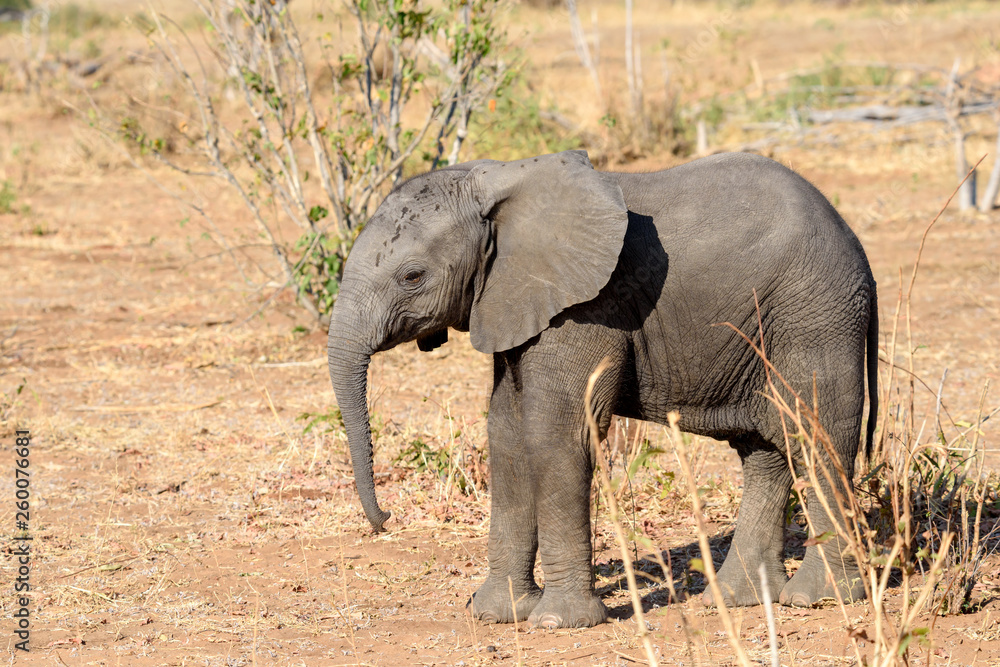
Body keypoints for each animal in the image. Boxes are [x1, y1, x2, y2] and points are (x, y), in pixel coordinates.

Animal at [326, 150, 878, 628]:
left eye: (412, 277)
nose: (386, 518)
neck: (499, 182)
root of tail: (857, 246)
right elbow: (507, 434)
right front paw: (494, 614)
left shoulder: (585, 307)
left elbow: (556, 437)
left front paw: (557, 623)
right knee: (767, 450)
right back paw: (736, 597)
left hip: (816, 313)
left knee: (813, 436)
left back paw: (818, 598)